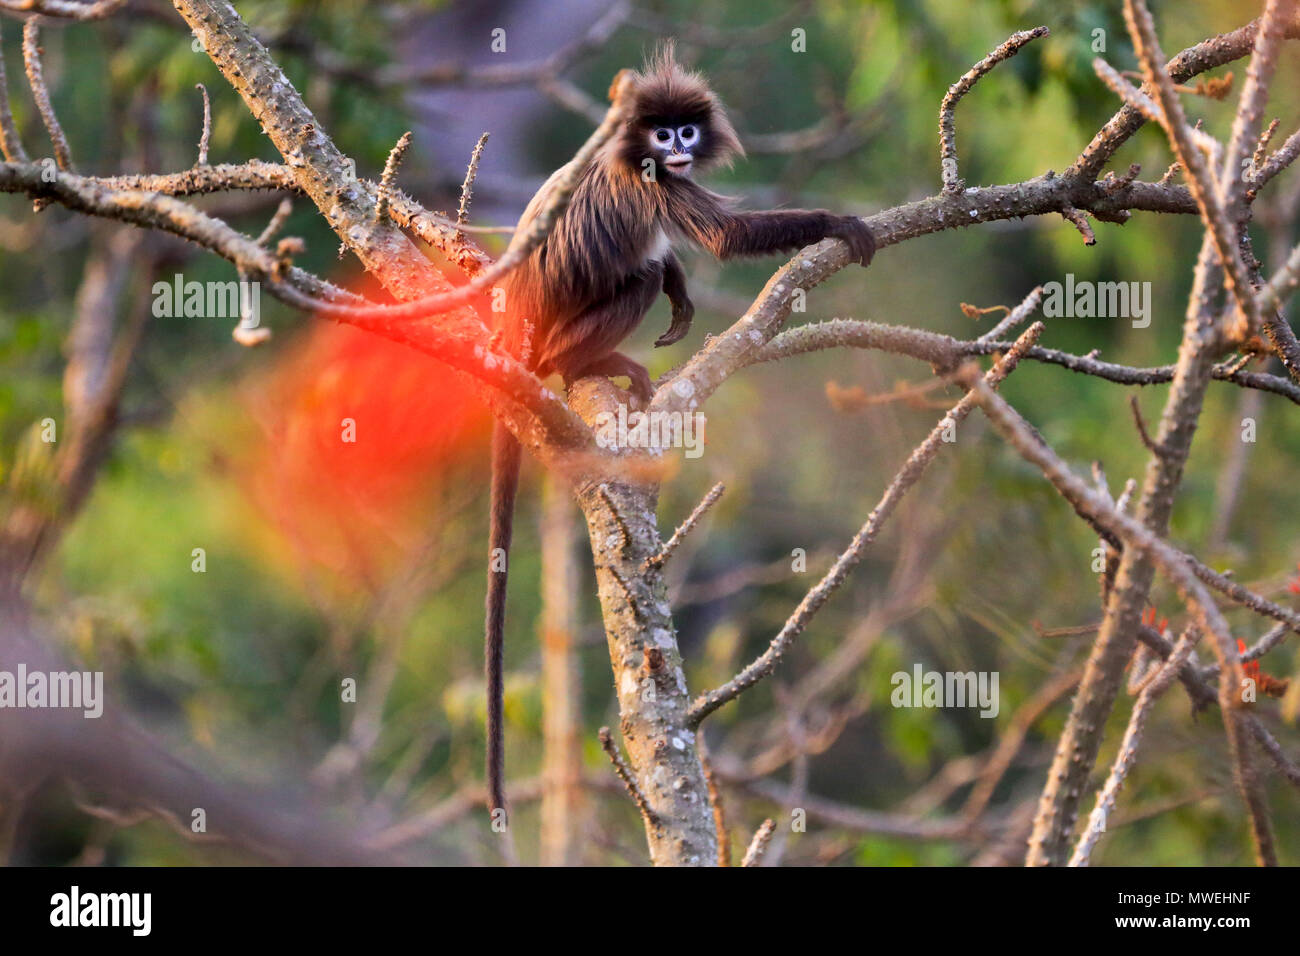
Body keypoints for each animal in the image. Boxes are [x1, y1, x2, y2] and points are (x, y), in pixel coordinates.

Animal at [486, 44, 873, 822]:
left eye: (685, 131)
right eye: (661, 134)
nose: (677, 148)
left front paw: (678, 282)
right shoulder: (650, 182)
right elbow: (724, 236)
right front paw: (838, 222)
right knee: (623, 285)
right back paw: (586, 363)